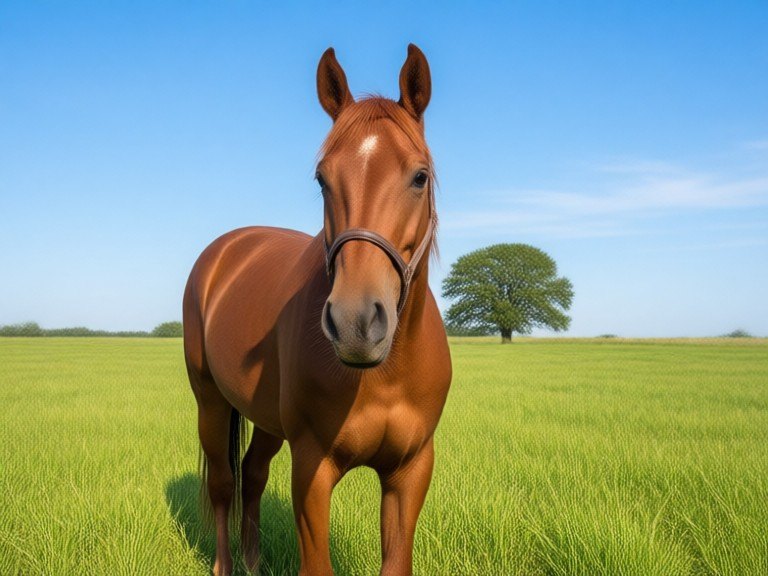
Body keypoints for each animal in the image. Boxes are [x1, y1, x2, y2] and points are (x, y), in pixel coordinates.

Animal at [183, 44, 452, 576]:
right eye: (322, 178)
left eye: (420, 177)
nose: (356, 324)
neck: (384, 373)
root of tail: (225, 250)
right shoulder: (312, 468)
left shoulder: (410, 471)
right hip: (210, 401)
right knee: (224, 484)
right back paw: (226, 564)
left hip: (266, 418)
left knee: (254, 473)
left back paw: (254, 562)